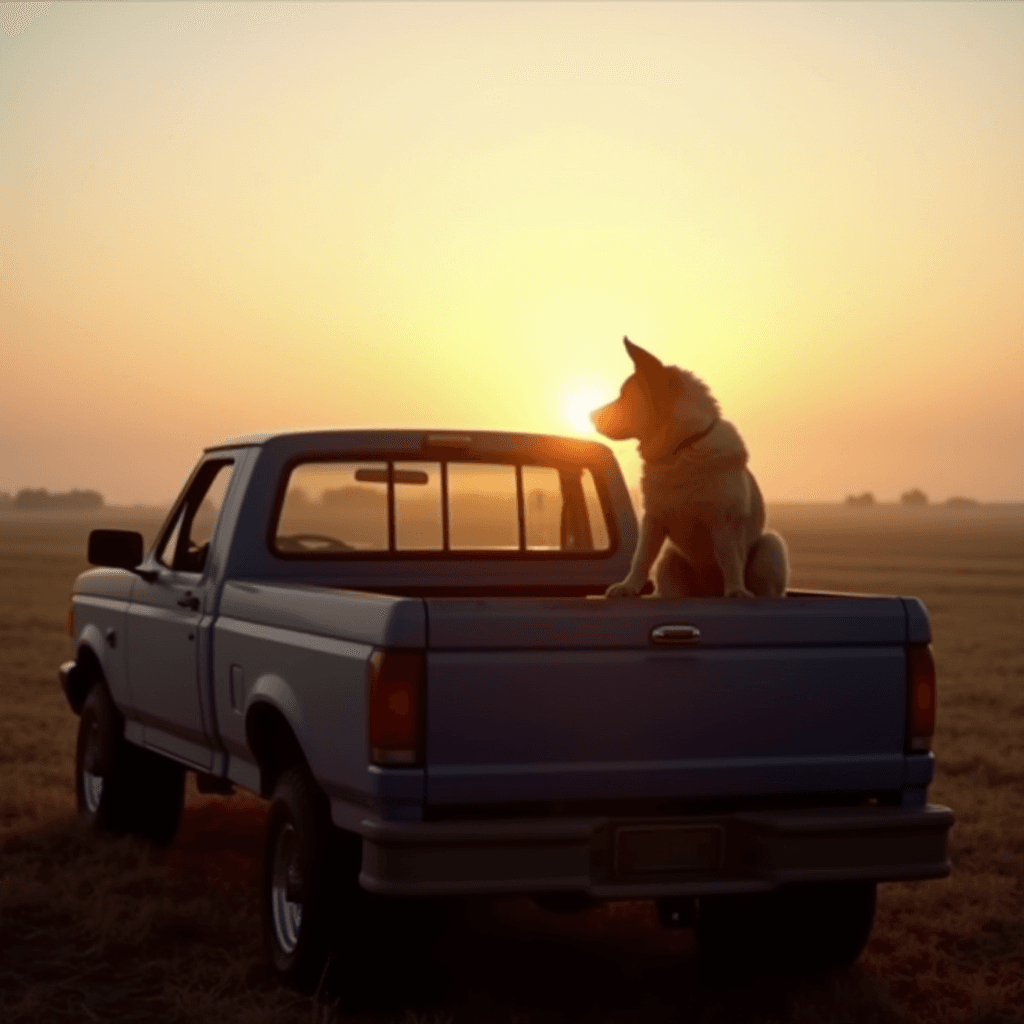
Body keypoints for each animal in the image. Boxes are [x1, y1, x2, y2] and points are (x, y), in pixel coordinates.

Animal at [589, 335, 786, 598]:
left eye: (624, 395)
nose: (590, 416)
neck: (682, 448)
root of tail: (708, 592)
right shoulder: (653, 520)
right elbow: (641, 558)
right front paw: (629, 587)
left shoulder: (724, 522)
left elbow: (731, 560)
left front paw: (736, 590)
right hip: (669, 561)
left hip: (770, 548)